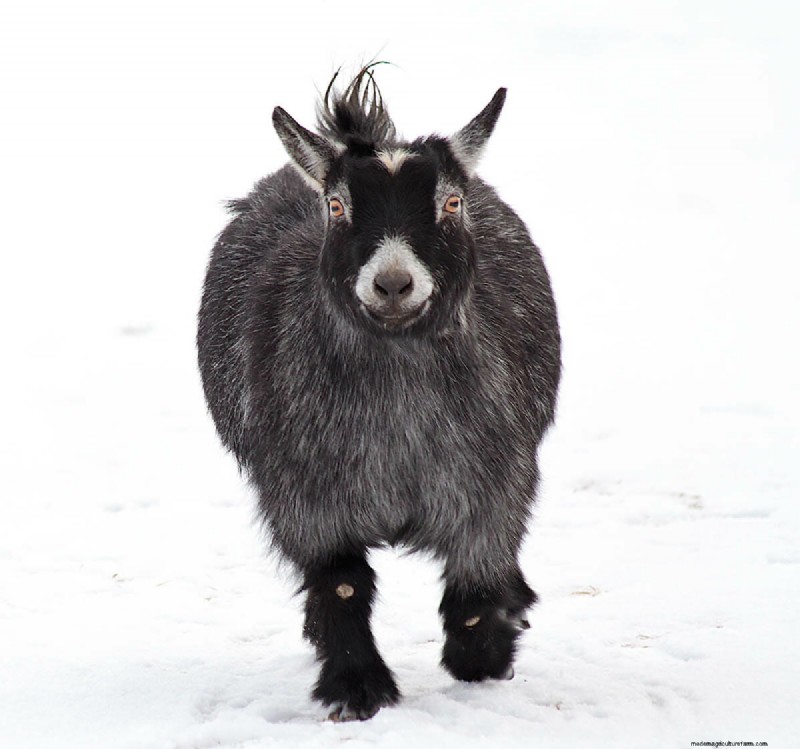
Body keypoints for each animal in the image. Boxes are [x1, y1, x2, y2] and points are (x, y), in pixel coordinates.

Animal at [197, 66, 561, 721]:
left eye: (451, 201)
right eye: (337, 205)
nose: (393, 283)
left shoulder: (494, 483)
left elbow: (477, 583)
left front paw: (484, 654)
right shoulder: (306, 496)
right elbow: (341, 584)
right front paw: (356, 689)